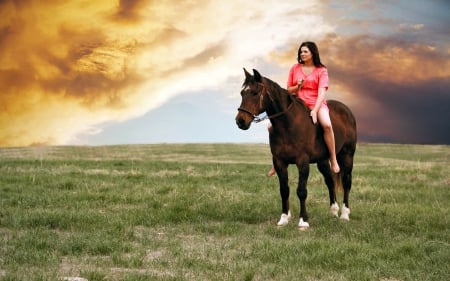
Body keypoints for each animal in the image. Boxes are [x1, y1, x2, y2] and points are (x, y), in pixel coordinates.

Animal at [234, 68, 356, 228]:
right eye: (242, 93)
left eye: (254, 93)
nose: (240, 121)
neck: (288, 124)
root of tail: (347, 110)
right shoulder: (279, 162)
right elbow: (284, 190)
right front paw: (284, 218)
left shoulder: (302, 162)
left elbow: (301, 191)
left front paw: (303, 220)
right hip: (322, 161)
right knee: (330, 181)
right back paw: (334, 211)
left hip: (347, 156)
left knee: (346, 182)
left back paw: (345, 214)